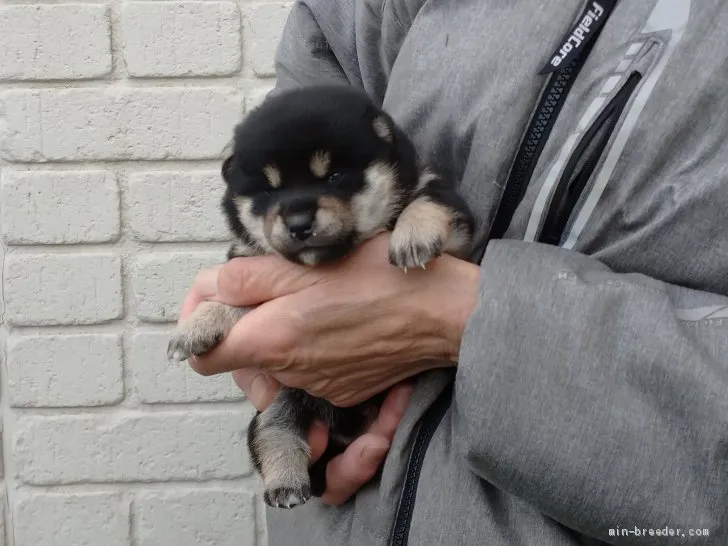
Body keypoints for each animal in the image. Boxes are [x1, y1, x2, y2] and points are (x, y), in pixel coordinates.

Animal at [167, 84, 474, 506]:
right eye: (269, 190)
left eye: (335, 176)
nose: (298, 223)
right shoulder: (249, 263)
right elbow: (233, 296)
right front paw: (195, 326)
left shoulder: (458, 233)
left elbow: (427, 199)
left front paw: (413, 235)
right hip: (280, 400)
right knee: (272, 431)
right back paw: (286, 483)